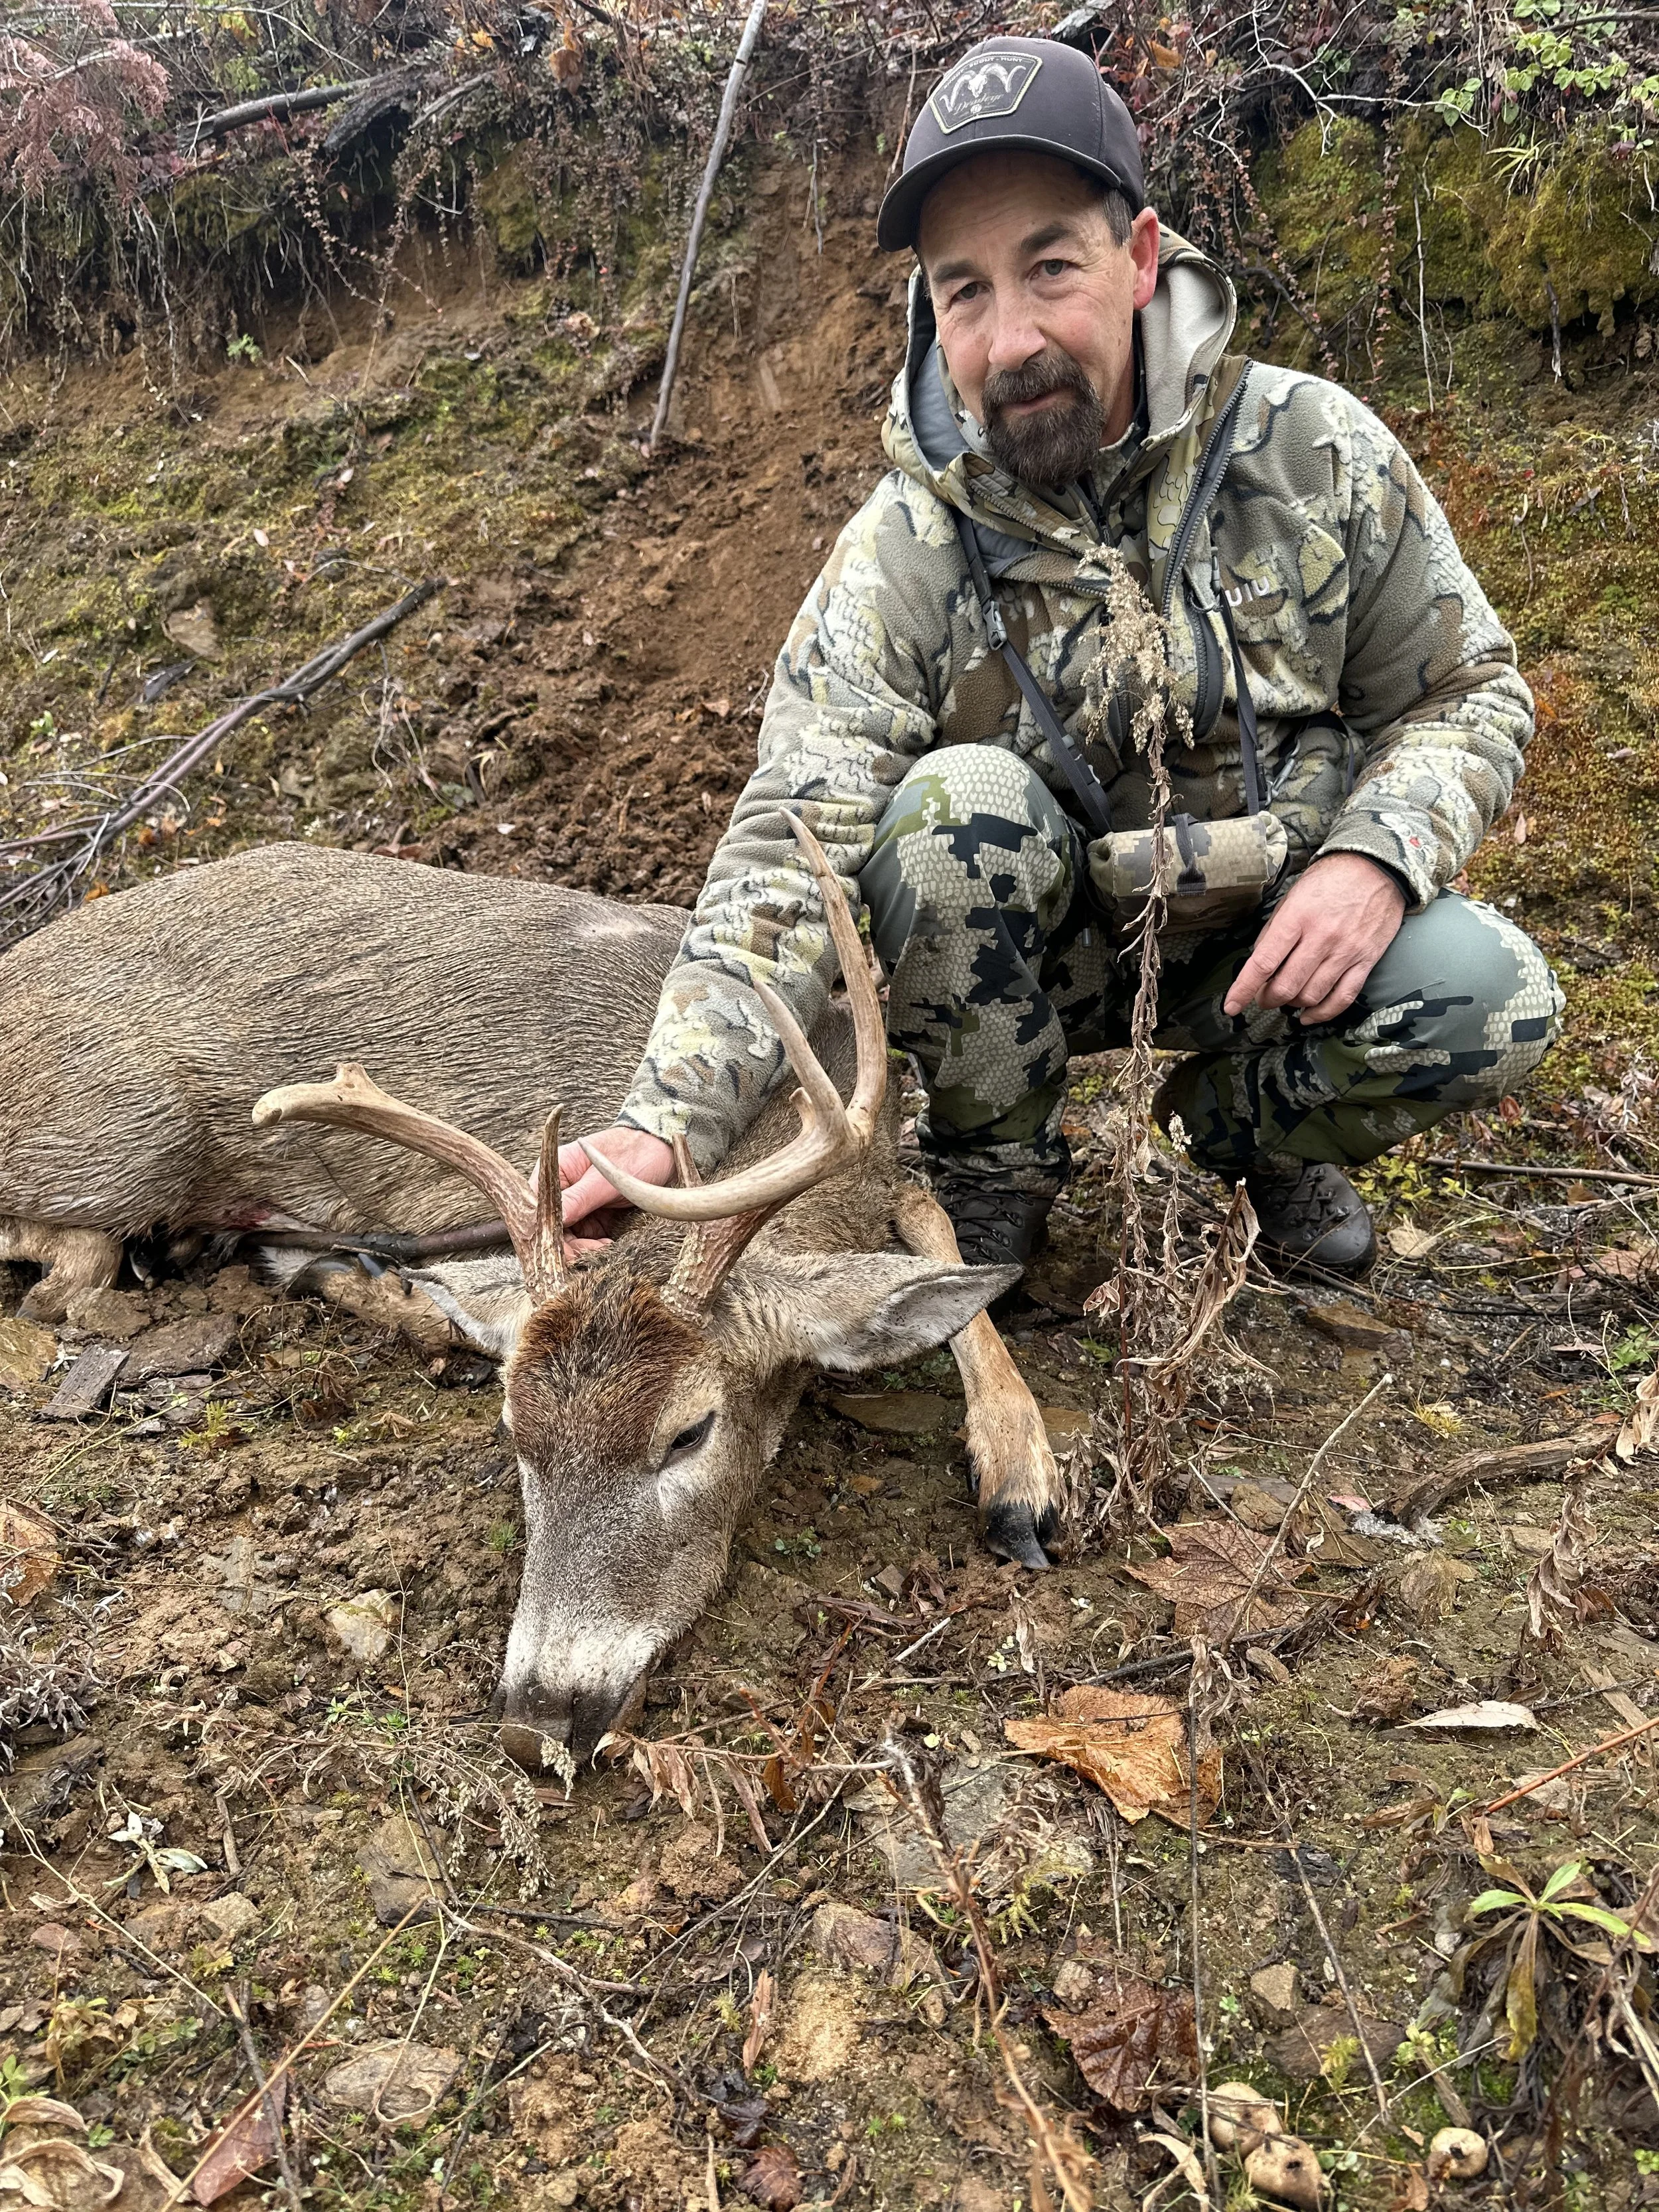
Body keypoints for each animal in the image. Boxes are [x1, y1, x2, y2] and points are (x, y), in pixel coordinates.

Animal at [0, 828, 1063, 1769]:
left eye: (690, 1431)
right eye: (514, 1432)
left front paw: (1022, 1476)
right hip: (127, 1136)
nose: (537, 1722)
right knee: (65, 1272)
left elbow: (933, 1219)